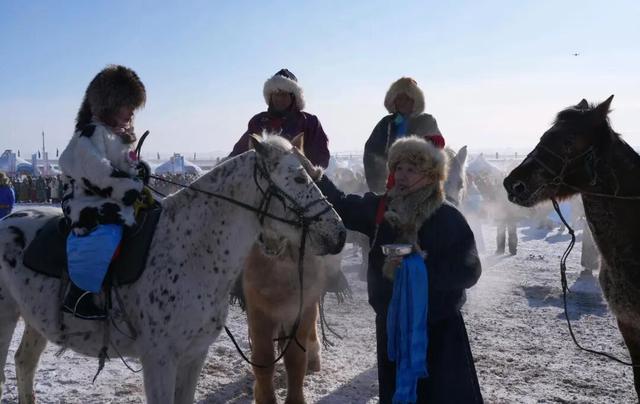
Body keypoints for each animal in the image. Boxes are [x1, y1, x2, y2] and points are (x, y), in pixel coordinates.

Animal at [0, 135, 346, 404]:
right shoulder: (160, 361)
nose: (339, 233)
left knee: (24, 364)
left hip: (34, 321)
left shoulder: (194, 356)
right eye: (299, 178)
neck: (189, 253)